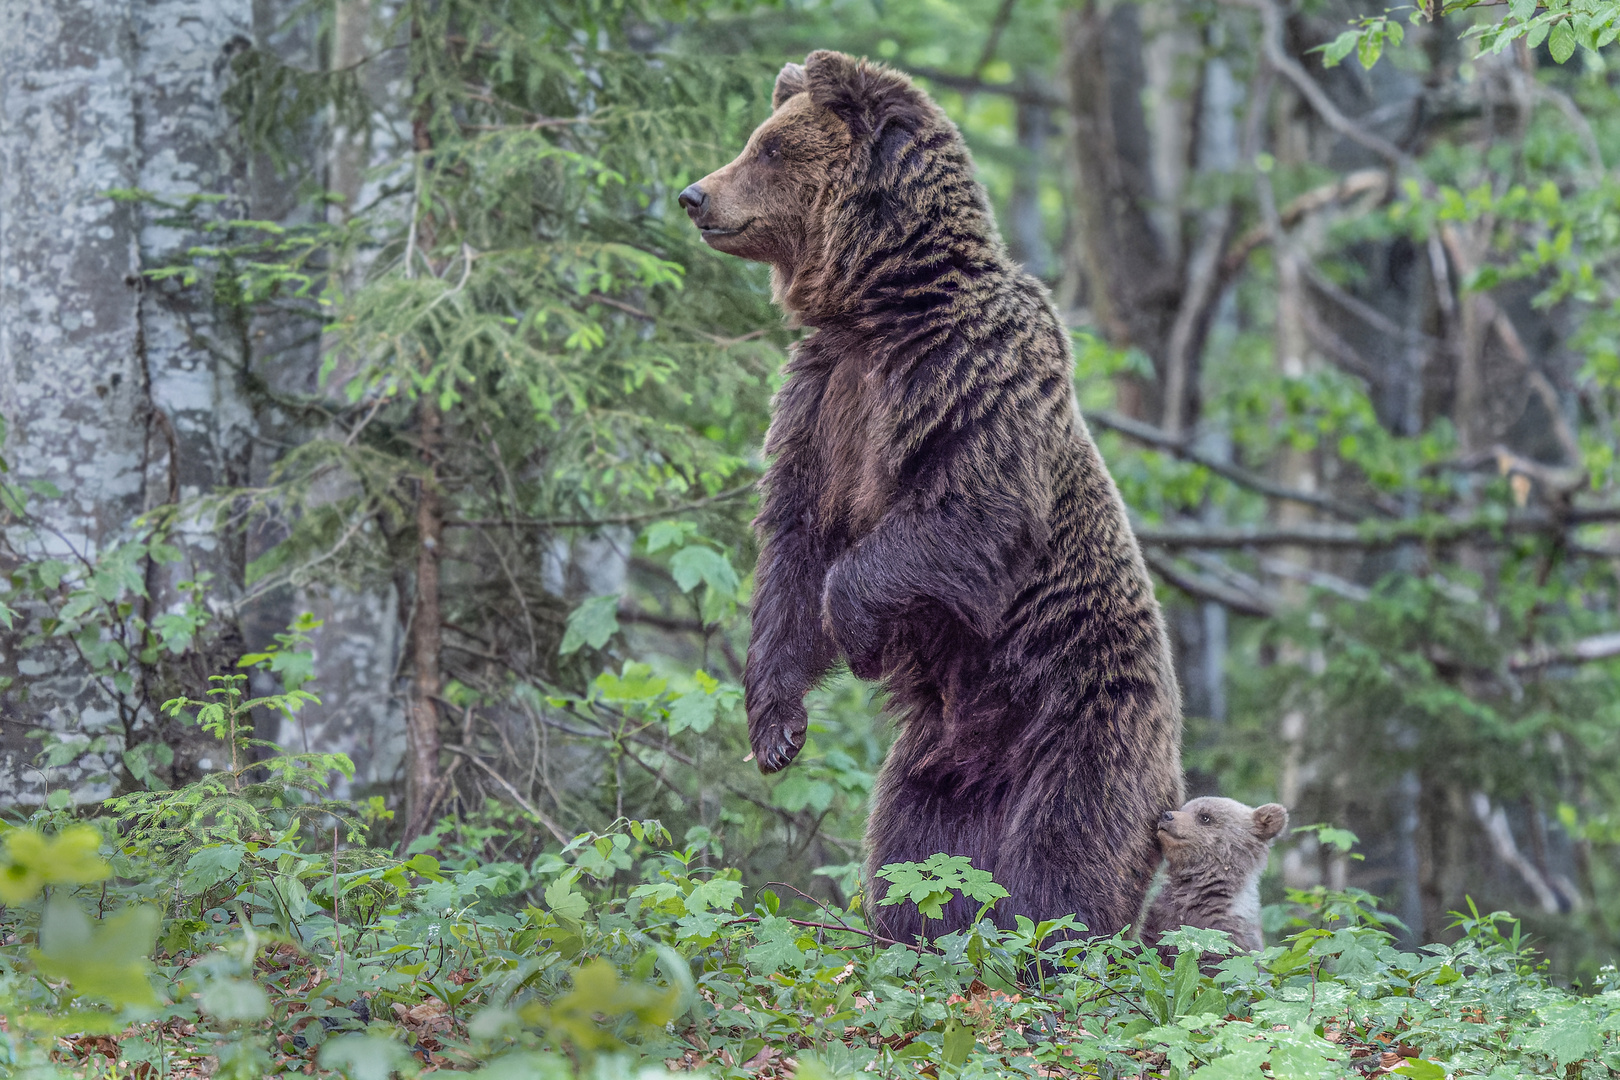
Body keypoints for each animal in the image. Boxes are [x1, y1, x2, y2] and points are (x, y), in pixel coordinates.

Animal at [677, 50, 1185, 939]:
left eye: (769, 148)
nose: (694, 194)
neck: (883, 307)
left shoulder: (967, 375)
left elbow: (963, 512)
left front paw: (857, 636)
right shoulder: (825, 400)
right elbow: (792, 543)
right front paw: (776, 726)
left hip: (1079, 721)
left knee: (1066, 859)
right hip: (935, 772)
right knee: (917, 859)